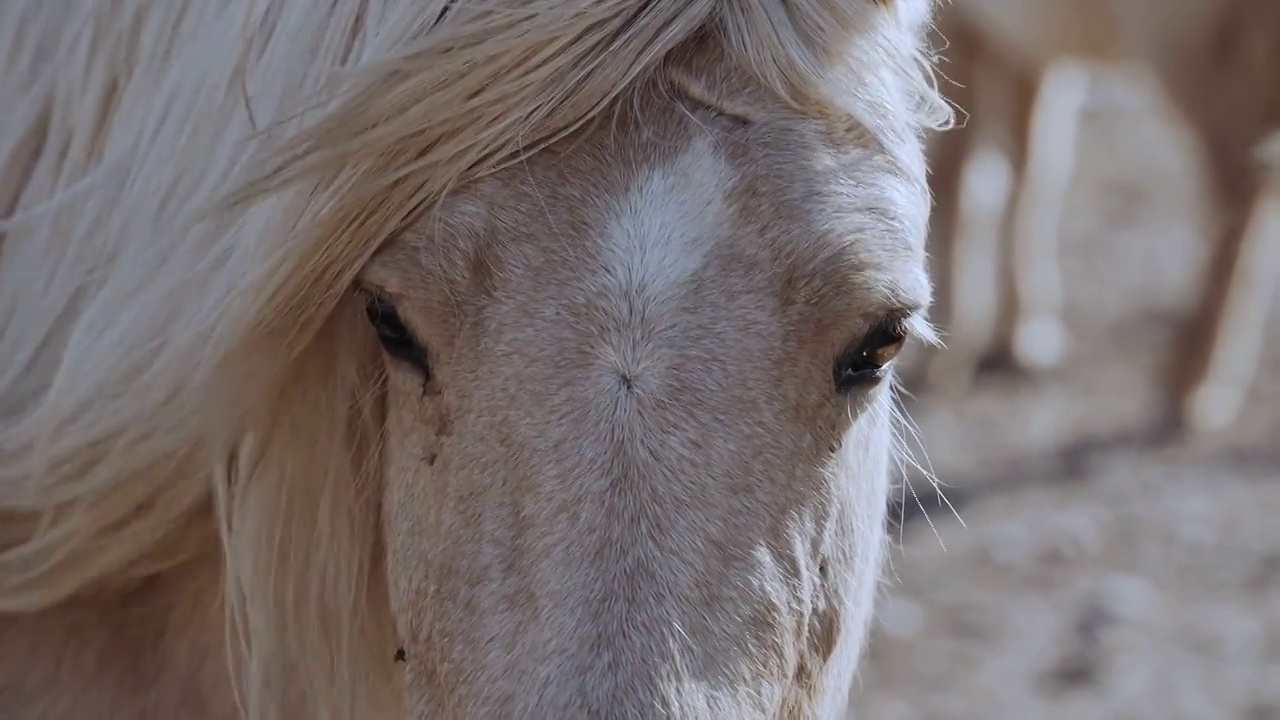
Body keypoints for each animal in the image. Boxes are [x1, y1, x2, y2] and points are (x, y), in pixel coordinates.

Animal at [921, 0, 1280, 430]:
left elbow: (952, 173)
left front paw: (943, 347)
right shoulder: (1023, 40)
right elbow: (1037, 164)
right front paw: (1022, 339)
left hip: (1184, 40)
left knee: (1244, 178)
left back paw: (1188, 388)